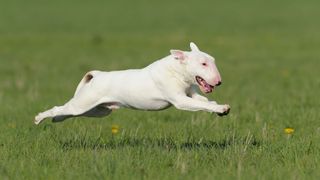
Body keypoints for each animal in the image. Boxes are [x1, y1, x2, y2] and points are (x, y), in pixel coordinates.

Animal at [35, 41, 230, 125]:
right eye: (203, 64)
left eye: (212, 61)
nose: (219, 82)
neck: (177, 71)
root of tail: (96, 76)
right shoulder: (180, 100)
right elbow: (200, 104)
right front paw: (221, 108)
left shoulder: (192, 92)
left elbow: (203, 101)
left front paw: (219, 107)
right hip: (83, 103)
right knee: (61, 108)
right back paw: (39, 118)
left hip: (99, 110)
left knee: (68, 113)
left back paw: (57, 119)